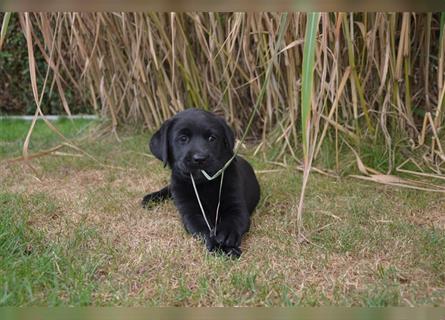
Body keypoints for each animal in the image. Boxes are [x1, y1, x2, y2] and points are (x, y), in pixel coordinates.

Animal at [142, 108, 260, 258]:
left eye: (212, 138)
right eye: (183, 138)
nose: (200, 158)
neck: (204, 184)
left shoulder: (236, 204)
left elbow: (234, 220)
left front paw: (226, 237)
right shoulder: (191, 212)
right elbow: (203, 229)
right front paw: (219, 247)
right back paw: (151, 198)